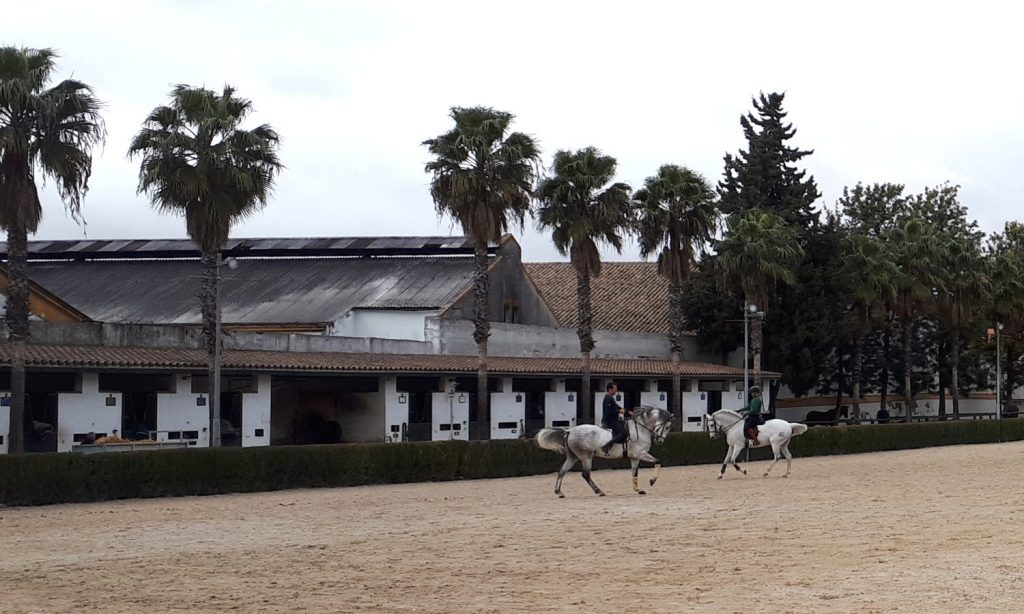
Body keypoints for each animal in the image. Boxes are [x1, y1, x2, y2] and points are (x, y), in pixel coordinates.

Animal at [536, 407, 671, 499]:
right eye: (667, 427)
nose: (660, 441)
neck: (641, 429)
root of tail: (570, 431)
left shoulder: (635, 457)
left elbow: (634, 473)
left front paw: (638, 489)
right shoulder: (640, 454)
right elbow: (657, 461)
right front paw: (652, 480)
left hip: (573, 457)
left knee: (562, 472)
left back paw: (559, 492)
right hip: (586, 457)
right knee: (586, 474)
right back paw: (599, 491)